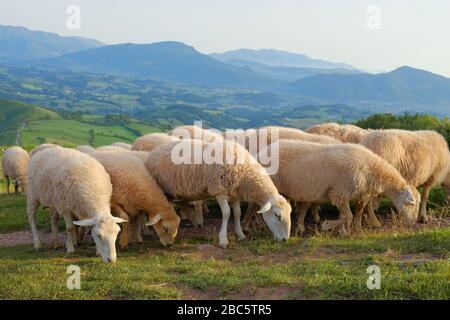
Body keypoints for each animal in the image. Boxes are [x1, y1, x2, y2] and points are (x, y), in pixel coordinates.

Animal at [144, 139, 292, 246]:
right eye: (277, 215)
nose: (285, 240)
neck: (245, 173)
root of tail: (153, 152)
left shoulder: (234, 193)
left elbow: (237, 213)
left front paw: (240, 234)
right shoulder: (219, 191)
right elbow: (226, 213)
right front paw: (223, 240)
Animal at [266, 140, 420, 235]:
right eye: (411, 204)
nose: (413, 223)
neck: (371, 169)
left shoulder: (353, 195)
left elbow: (353, 213)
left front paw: (349, 230)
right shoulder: (339, 193)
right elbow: (349, 216)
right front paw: (327, 225)